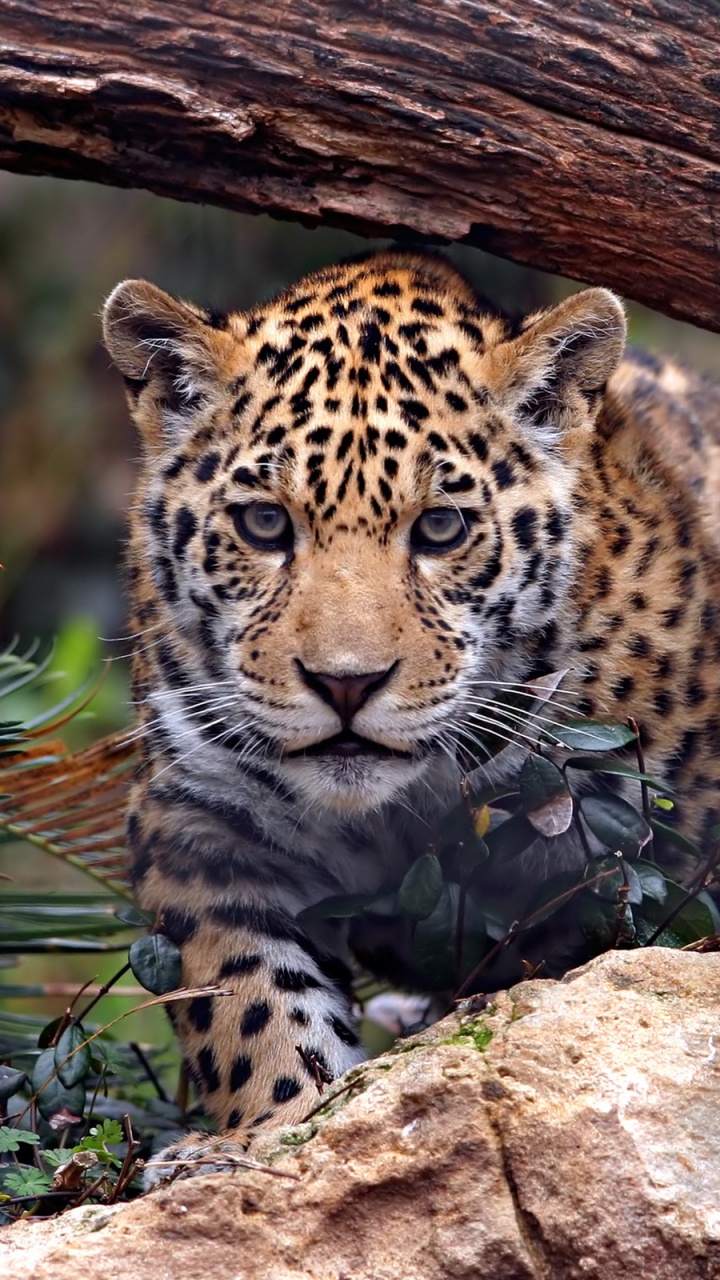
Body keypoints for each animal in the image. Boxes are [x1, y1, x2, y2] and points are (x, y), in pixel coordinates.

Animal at [102, 244, 720, 1182]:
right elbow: (247, 1000)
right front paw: (273, 1131)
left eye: (440, 529)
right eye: (263, 523)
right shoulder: (198, 826)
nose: (346, 684)